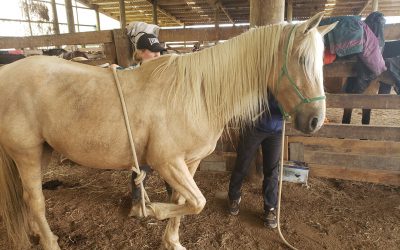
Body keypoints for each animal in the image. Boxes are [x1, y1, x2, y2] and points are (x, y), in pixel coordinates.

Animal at [0, 13, 336, 250]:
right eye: (302, 60)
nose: (315, 121)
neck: (196, 94)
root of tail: (7, 72)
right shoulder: (167, 162)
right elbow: (196, 203)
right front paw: (151, 210)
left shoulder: (189, 162)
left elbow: (185, 202)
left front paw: (171, 241)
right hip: (26, 153)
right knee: (35, 200)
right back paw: (50, 242)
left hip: (42, 152)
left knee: (27, 198)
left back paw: (34, 232)